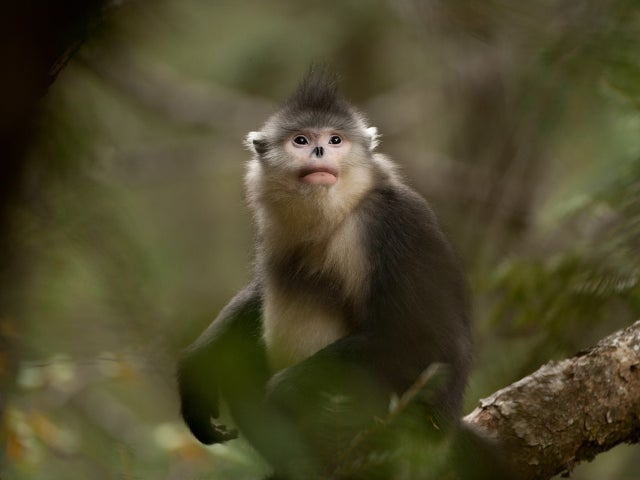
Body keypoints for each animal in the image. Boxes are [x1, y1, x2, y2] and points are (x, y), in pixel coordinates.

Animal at [177, 69, 508, 479]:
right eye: (301, 140)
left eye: (335, 140)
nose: (319, 152)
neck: (337, 214)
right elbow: (257, 296)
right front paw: (196, 365)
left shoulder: (390, 224)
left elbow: (431, 344)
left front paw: (287, 389)